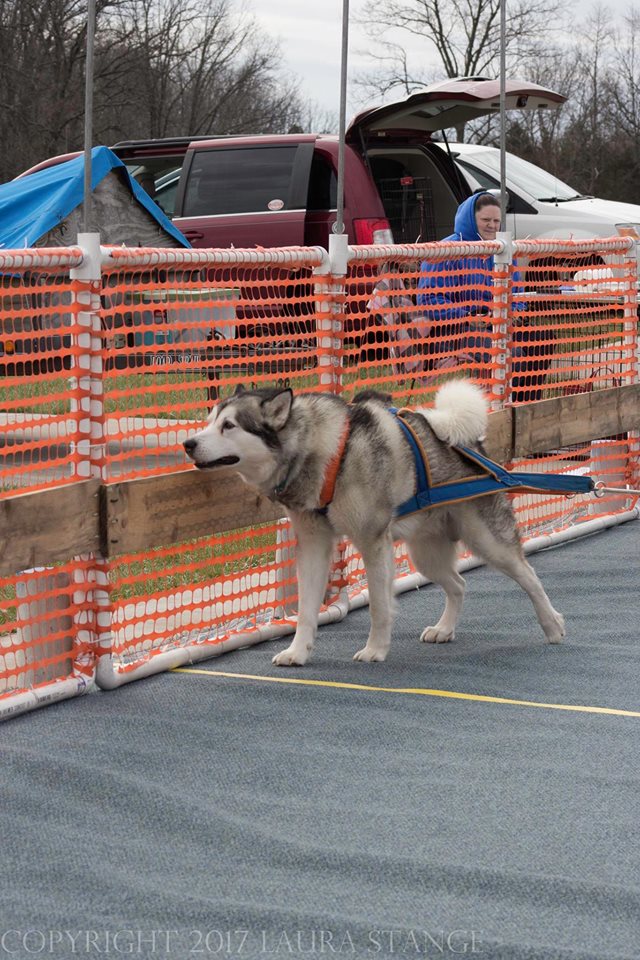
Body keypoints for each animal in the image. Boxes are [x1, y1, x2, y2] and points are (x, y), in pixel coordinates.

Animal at [182, 378, 564, 664]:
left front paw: (376, 649)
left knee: (529, 576)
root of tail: (470, 442)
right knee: (458, 584)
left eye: (229, 425)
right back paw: (444, 629)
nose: (188, 443)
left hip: (486, 539)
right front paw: (297, 651)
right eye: (209, 420)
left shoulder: (372, 542)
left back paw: (552, 624)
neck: (326, 453)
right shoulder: (313, 545)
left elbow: (380, 606)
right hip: (425, 555)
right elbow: (306, 609)